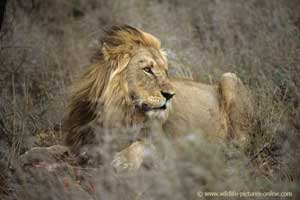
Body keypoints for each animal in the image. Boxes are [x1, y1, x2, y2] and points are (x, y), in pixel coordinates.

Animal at [63, 24, 253, 170]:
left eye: (165, 72)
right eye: (147, 69)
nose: (170, 95)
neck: (121, 111)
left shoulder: (168, 147)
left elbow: (141, 145)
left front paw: (123, 162)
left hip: (229, 78)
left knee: (242, 143)